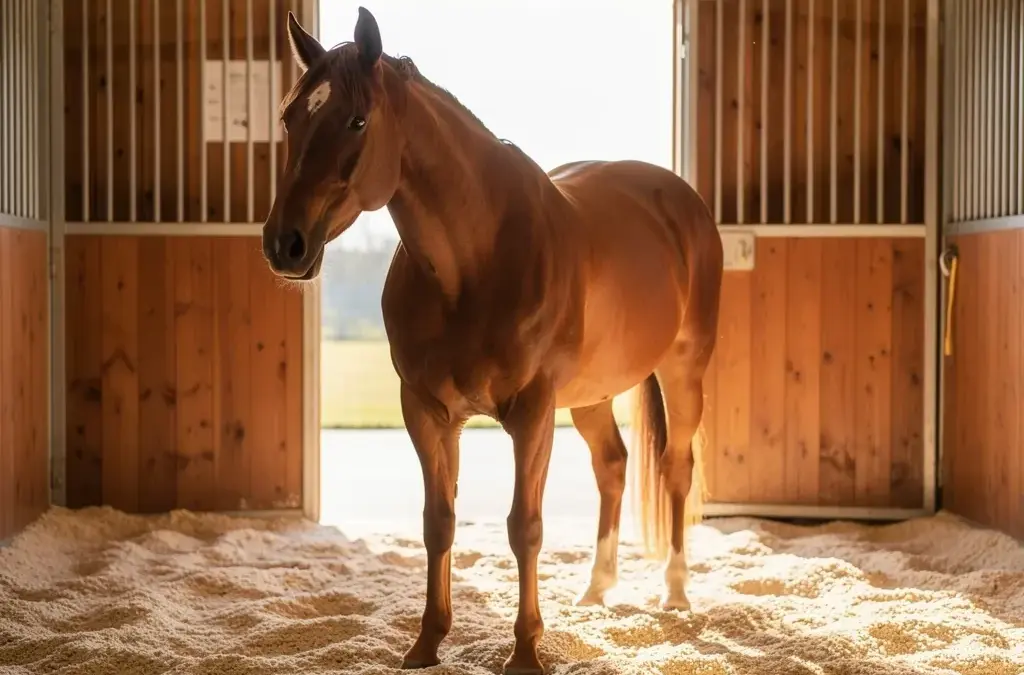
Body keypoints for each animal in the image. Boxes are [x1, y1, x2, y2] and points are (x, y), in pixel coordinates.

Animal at [262, 8, 723, 674]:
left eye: (357, 119)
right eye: (289, 117)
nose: (284, 245)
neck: (474, 261)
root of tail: (678, 199)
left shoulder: (531, 413)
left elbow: (523, 527)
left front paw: (526, 651)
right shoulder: (427, 411)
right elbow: (439, 522)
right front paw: (426, 644)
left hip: (683, 372)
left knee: (676, 469)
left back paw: (677, 593)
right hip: (588, 398)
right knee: (612, 466)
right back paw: (596, 589)